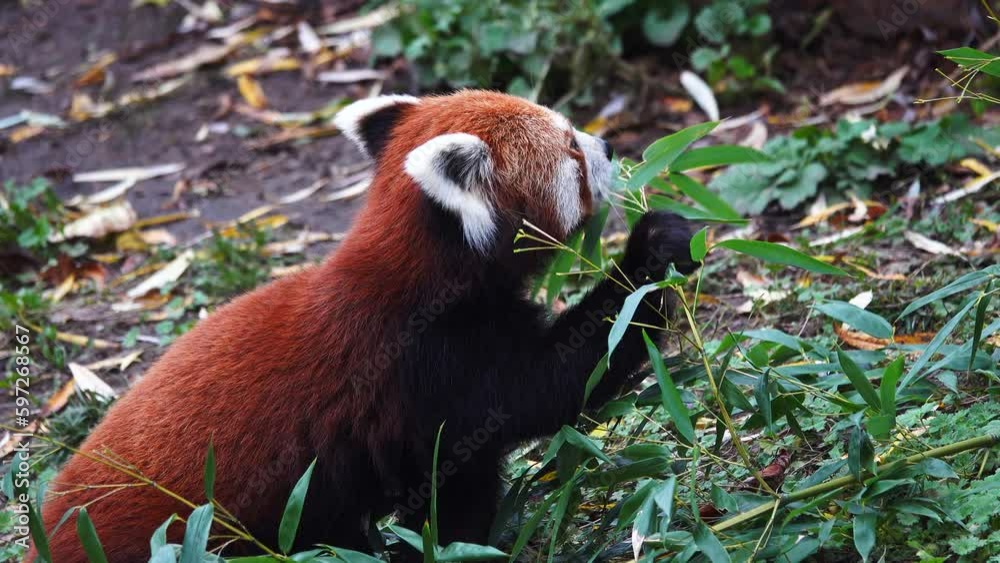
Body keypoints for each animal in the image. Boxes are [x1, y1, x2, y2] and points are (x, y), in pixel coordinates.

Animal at [29, 90, 688, 560]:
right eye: (572, 150)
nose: (610, 146)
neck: (423, 275)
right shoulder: (431, 370)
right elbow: (551, 387)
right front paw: (654, 247)